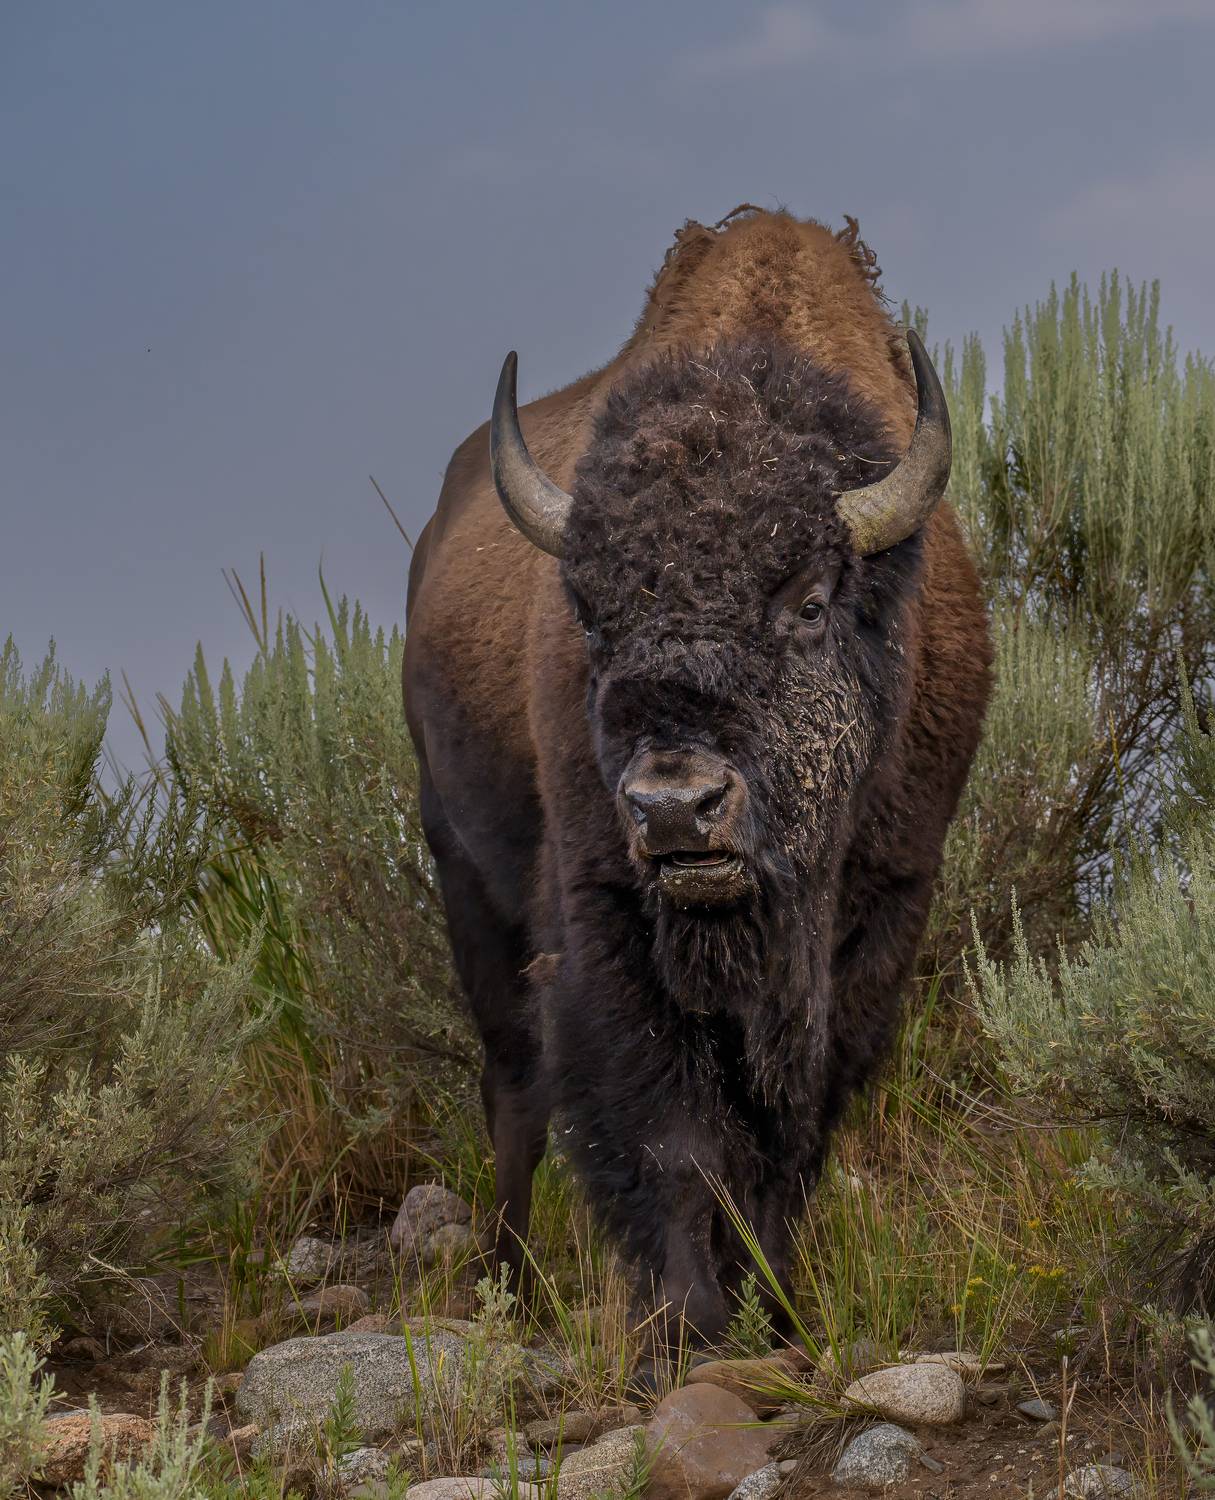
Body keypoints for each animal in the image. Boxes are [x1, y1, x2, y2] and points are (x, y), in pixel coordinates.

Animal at [403, 207, 991, 1352]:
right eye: (591, 616)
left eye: (807, 601)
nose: (676, 806)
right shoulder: (606, 914)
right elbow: (669, 1129)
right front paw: (685, 1325)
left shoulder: (884, 906)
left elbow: (792, 1130)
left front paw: (775, 1309)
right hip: (463, 874)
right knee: (514, 1086)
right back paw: (514, 1287)